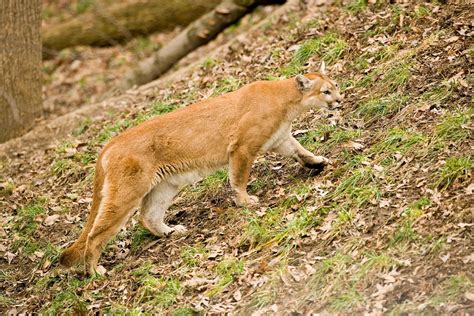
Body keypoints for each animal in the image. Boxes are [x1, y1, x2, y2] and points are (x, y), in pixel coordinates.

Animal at [60, 62, 340, 274]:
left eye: (334, 86)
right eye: (326, 91)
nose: (339, 99)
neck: (287, 99)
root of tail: (110, 143)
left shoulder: (280, 139)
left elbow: (300, 151)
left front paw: (317, 163)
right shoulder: (241, 148)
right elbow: (239, 178)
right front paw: (245, 201)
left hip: (166, 184)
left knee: (148, 215)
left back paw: (170, 232)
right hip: (126, 193)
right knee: (96, 234)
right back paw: (94, 271)